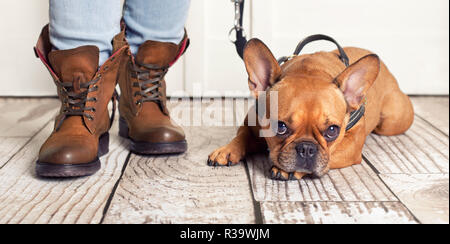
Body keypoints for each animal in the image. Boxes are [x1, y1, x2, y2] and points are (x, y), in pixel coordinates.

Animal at [207, 37, 412, 179]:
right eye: (280, 126)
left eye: (332, 130)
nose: (307, 148)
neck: (310, 71)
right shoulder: (251, 123)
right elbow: (241, 135)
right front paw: (226, 150)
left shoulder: (351, 146)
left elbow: (330, 156)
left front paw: (288, 171)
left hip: (390, 123)